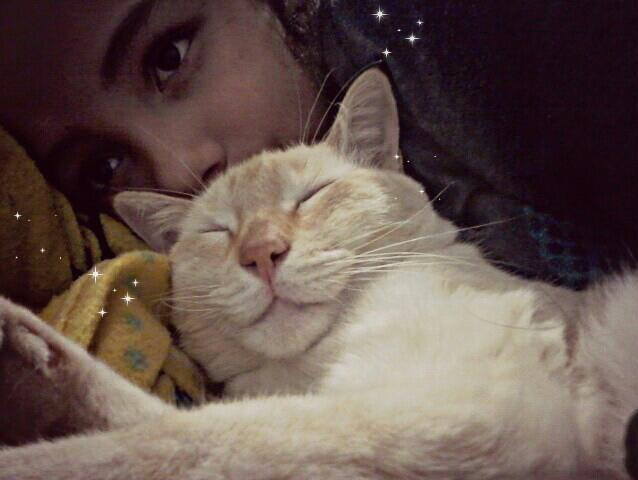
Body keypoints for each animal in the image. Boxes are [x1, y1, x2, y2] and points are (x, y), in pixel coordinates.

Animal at [0, 68, 636, 479]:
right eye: (218, 233)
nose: (262, 253)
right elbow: (151, 419)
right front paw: (28, 355)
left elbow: (160, 445)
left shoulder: (463, 411)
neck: (308, 368)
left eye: (312, 196)